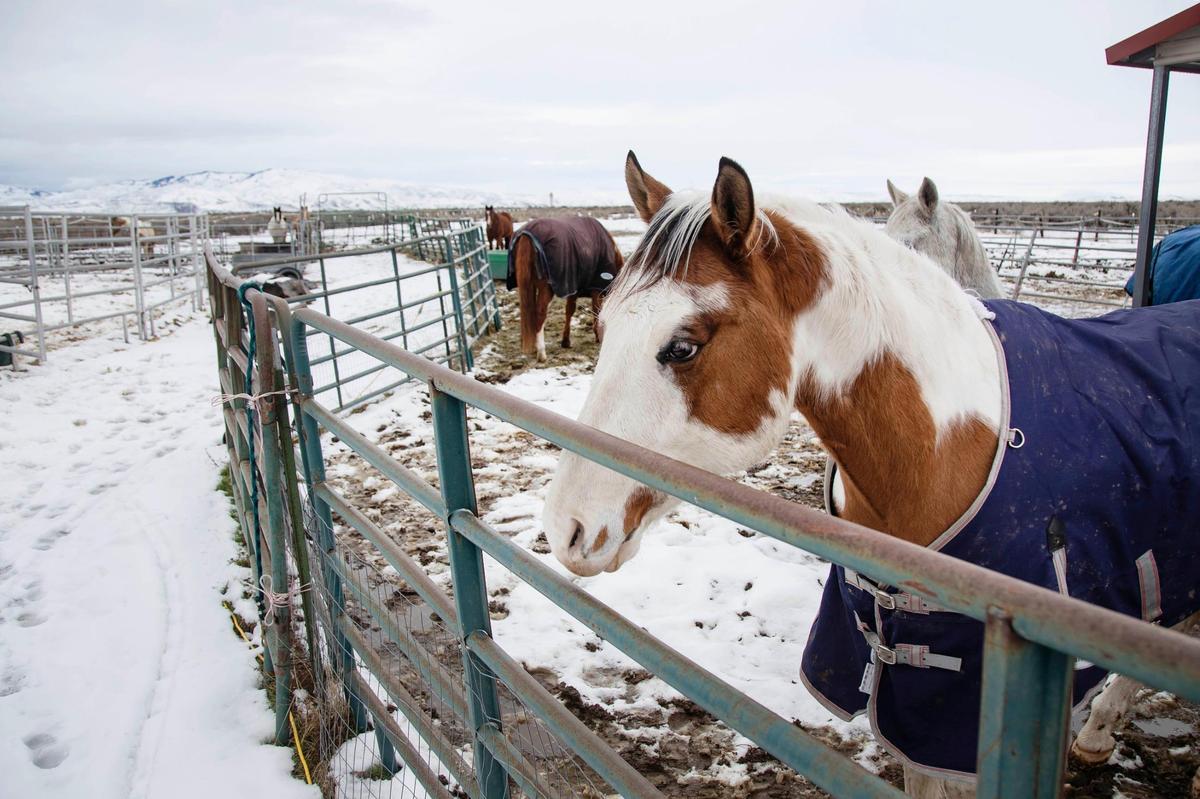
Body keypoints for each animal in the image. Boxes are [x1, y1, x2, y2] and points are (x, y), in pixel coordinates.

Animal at [506, 216, 623, 362]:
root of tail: (526, 234)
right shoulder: (596, 289)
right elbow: (596, 310)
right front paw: (598, 336)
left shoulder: (572, 287)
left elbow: (569, 311)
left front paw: (565, 341)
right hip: (546, 289)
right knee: (540, 314)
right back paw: (541, 352)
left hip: (529, 286)